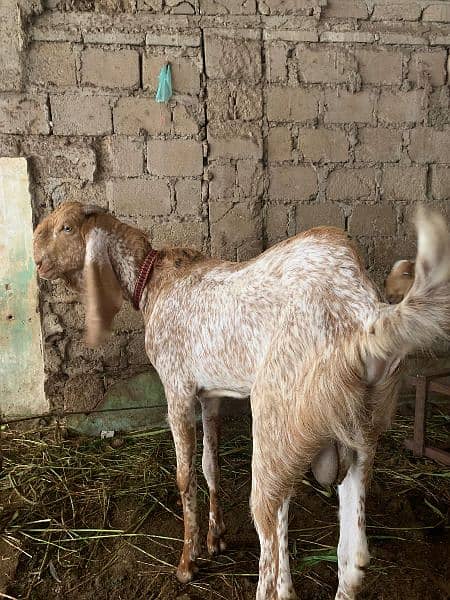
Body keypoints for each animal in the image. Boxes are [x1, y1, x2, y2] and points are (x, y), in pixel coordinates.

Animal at [32, 204, 450, 596]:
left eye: (66, 226)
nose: (37, 261)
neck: (153, 281)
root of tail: (364, 323)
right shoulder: (210, 395)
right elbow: (210, 465)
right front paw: (215, 539)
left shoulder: (177, 388)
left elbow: (185, 476)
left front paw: (187, 562)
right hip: (361, 438)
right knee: (352, 558)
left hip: (274, 422)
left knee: (271, 557)